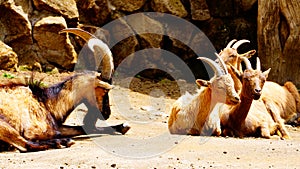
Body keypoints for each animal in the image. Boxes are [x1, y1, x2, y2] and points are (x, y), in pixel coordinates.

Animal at [0, 27, 129, 152]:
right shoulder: (34, 130)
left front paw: (123, 127)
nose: (107, 114)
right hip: (4, 125)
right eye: (105, 90)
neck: (45, 100)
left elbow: (82, 128)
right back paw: (64, 142)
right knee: (24, 145)